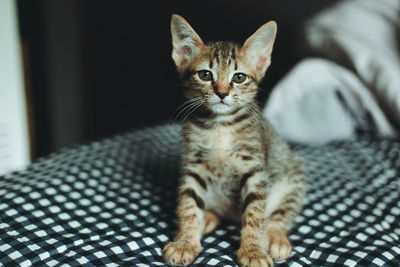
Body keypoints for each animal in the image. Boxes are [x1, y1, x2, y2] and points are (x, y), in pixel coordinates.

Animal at [162, 15, 306, 267]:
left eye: (239, 77)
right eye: (205, 75)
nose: (221, 93)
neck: (220, 126)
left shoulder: (255, 169)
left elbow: (256, 213)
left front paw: (253, 251)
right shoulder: (194, 165)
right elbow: (188, 205)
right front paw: (185, 242)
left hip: (294, 179)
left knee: (278, 217)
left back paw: (276, 239)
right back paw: (207, 218)